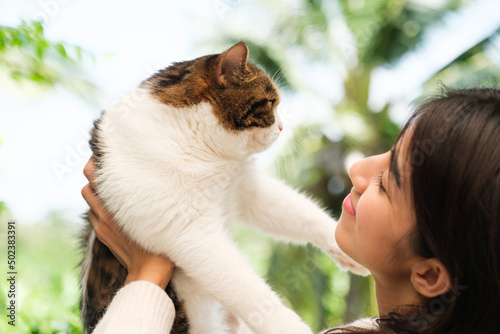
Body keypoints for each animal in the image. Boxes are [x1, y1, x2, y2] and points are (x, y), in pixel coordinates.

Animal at [79, 41, 368, 334]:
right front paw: (289, 327)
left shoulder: (244, 189)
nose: (282, 127)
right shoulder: (193, 234)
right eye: (271, 102)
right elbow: (250, 292)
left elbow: (302, 214)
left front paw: (344, 242)